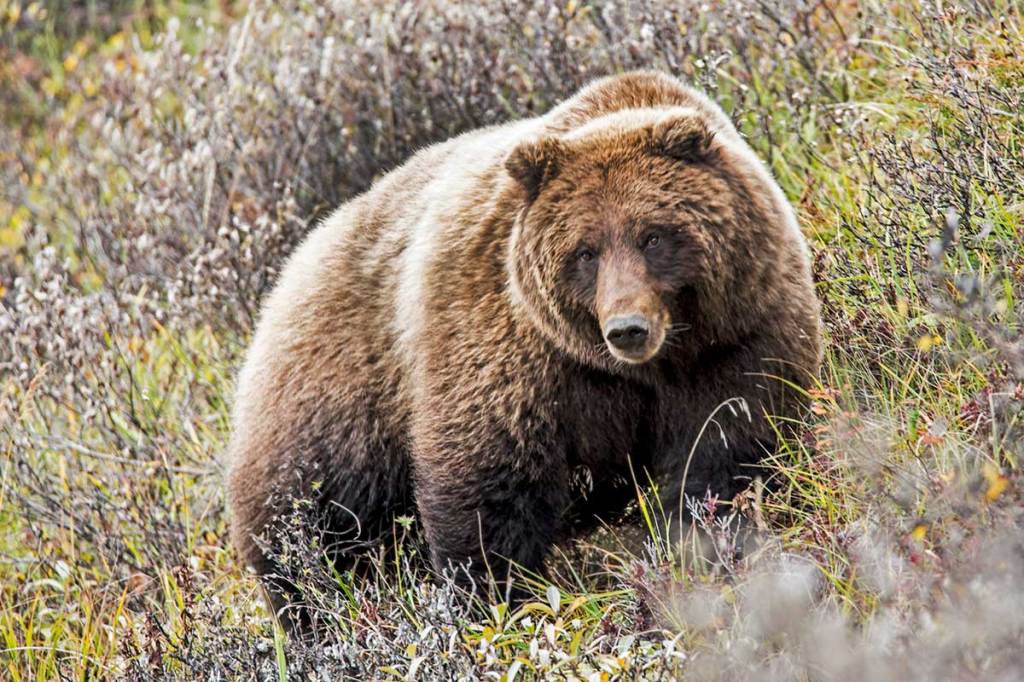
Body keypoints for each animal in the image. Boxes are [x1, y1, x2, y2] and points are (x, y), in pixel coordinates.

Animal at [226, 71, 823, 630]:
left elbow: (724, 453)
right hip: (331, 412)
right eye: (585, 251)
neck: (645, 369)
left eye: (653, 235)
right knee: (309, 537)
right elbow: (489, 486)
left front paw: (711, 549)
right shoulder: (512, 350)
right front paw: (495, 600)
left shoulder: (735, 340)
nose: (627, 328)